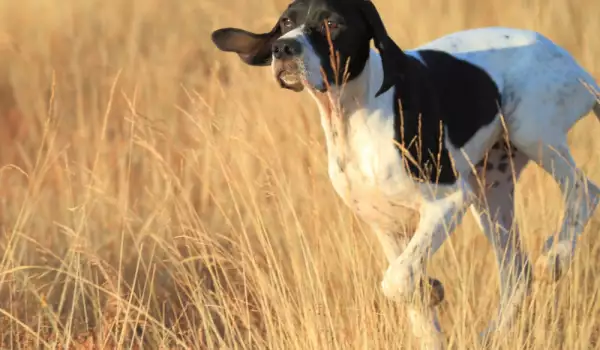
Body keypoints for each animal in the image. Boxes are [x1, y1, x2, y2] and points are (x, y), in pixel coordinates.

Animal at [210, 0, 600, 348]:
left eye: (332, 23)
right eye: (286, 22)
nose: (283, 48)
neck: (353, 115)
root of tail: (574, 65)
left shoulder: (448, 200)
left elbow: (396, 280)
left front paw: (430, 288)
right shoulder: (386, 224)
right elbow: (410, 290)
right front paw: (429, 295)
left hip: (531, 133)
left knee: (584, 190)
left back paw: (557, 255)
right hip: (492, 188)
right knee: (517, 273)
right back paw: (494, 334)